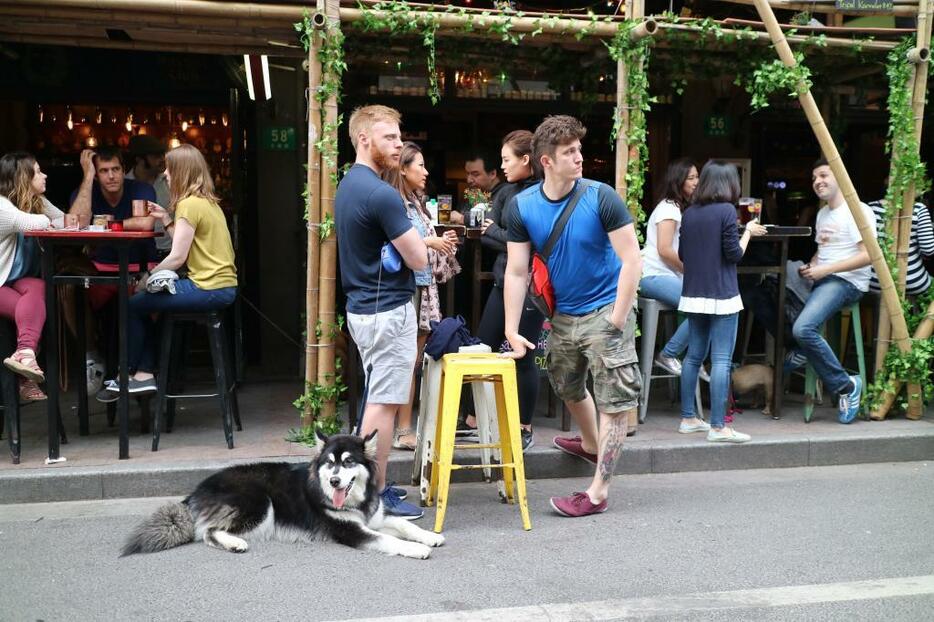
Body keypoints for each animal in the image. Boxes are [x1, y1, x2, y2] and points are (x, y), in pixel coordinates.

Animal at [120, 434, 446, 560]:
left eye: (348, 462)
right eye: (330, 463)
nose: (335, 480)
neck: (355, 500)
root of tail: (197, 490)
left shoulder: (374, 517)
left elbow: (404, 525)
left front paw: (430, 536)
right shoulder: (352, 531)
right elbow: (390, 540)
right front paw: (417, 549)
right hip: (259, 502)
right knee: (209, 531)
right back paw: (235, 543)